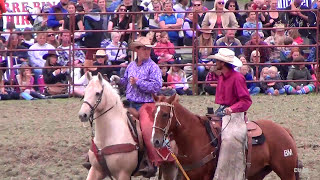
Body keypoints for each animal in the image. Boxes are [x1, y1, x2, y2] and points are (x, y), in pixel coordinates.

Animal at [151, 94, 300, 180]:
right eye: (153, 113)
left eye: (165, 114)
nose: (156, 141)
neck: (194, 138)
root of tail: (284, 130)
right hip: (258, 173)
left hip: (287, 173)